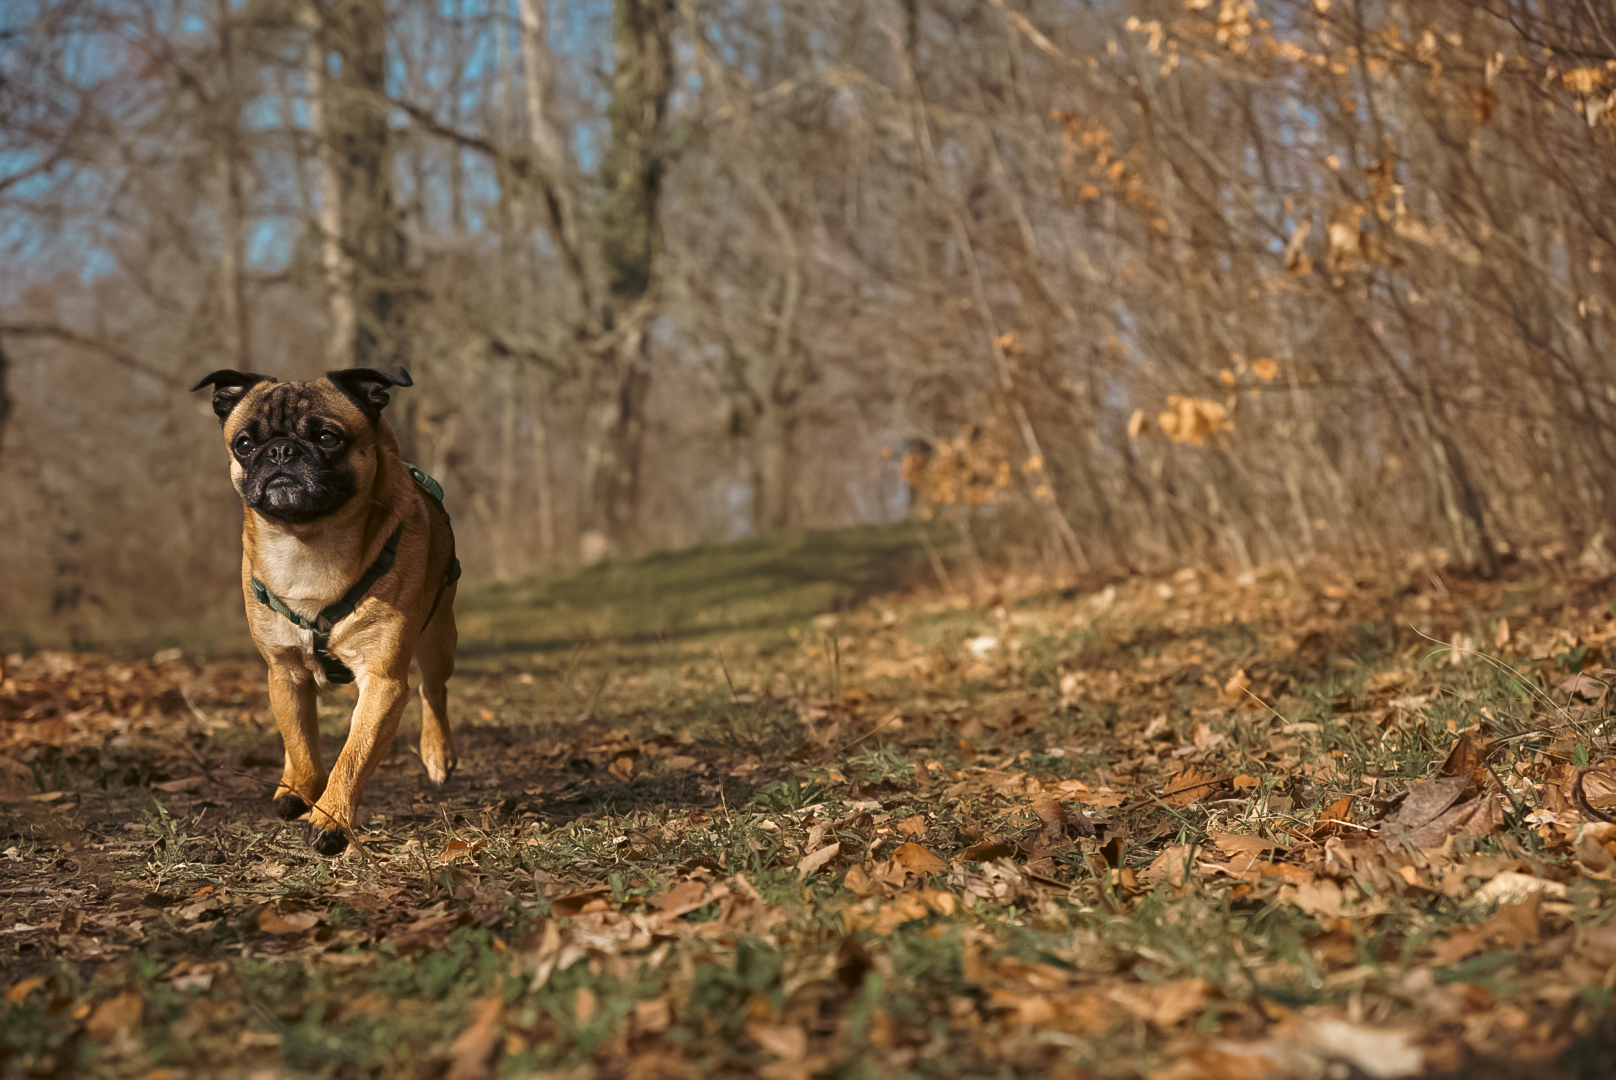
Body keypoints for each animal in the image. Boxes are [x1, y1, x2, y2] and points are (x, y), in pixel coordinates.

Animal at [197, 367, 462, 853]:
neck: (308, 547)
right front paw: (302, 788)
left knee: (433, 690)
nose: (281, 450)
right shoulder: (284, 672)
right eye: (244, 443)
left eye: (327, 437)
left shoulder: (381, 683)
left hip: (440, 639)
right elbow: (300, 740)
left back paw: (438, 753)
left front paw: (331, 818)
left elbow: (353, 755)